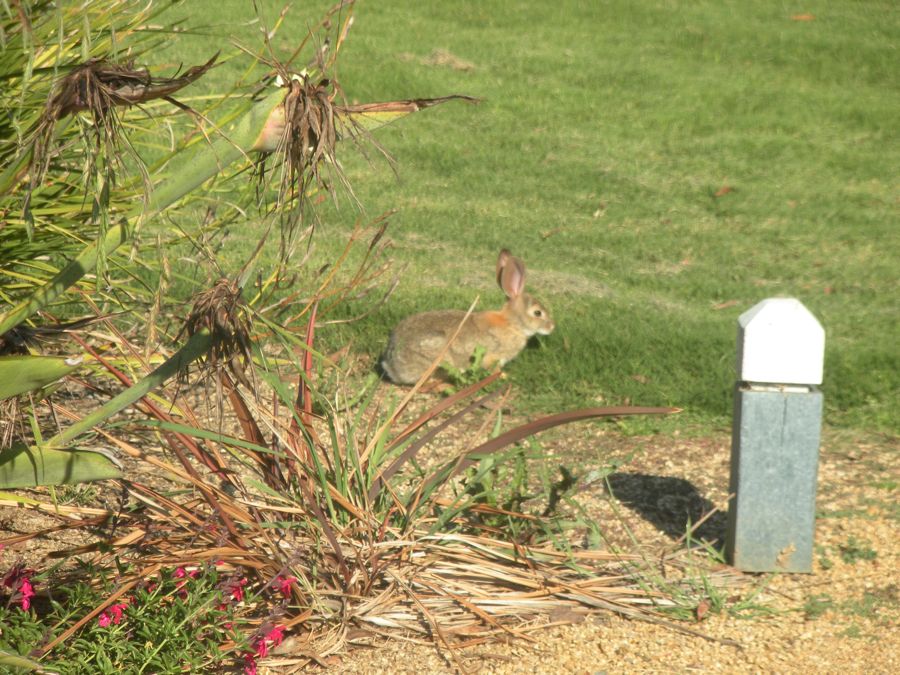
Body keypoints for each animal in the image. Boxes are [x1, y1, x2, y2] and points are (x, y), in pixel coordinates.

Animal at [378, 248, 552, 386]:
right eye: (538, 313)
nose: (551, 327)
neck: (512, 323)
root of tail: (392, 365)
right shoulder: (493, 356)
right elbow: (494, 370)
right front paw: (506, 377)